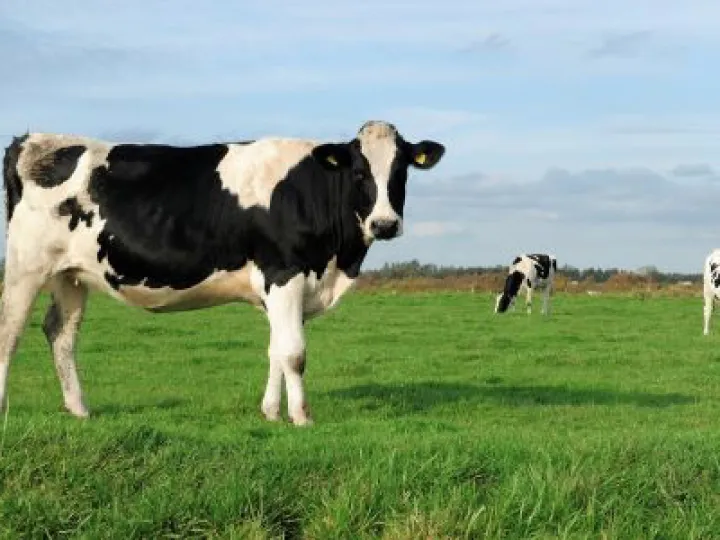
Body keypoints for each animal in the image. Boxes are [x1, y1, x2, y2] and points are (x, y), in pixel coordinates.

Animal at [0, 121, 445, 425]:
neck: (337, 262)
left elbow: (276, 350)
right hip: (25, 265)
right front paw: (302, 417)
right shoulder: (284, 273)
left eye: (401, 171)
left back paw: (79, 410)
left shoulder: (283, 288)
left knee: (61, 333)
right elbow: (294, 353)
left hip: (71, 274)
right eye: (358, 172)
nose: (384, 224)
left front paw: (271, 412)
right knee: (10, 332)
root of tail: (32, 139)